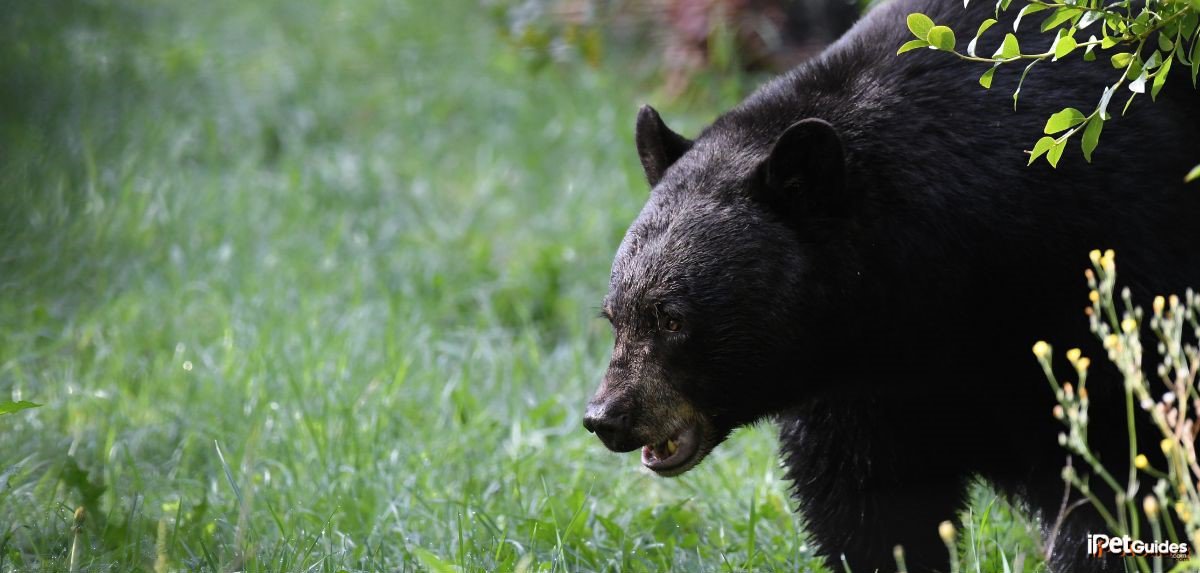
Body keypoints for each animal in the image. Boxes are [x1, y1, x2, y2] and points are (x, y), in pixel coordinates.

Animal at [580, 0, 1200, 571]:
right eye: (615, 316)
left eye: (671, 318)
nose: (606, 417)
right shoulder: (865, 390)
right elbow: (869, 503)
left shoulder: (1105, 258)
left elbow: (1121, 454)